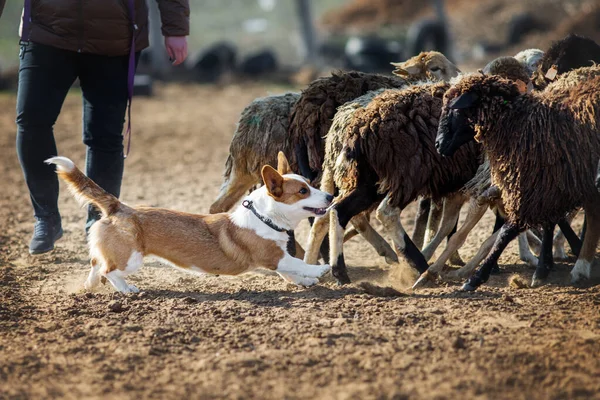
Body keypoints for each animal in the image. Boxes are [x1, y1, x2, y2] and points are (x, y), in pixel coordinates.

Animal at [46, 152, 332, 292]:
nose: (331, 196)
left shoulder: (276, 259)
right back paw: (128, 289)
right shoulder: (272, 256)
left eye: (309, 183)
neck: (265, 217)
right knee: (109, 271)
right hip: (131, 259)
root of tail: (119, 207)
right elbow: (297, 264)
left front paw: (306, 282)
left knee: (96, 265)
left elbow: (290, 271)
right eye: (303, 191)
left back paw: (89, 287)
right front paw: (319, 271)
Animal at [318, 83, 482, 282]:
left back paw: (340, 271)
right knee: (386, 212)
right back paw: (419, 265)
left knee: (339, 209)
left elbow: (450, 223)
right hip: (409, 174)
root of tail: (360, 128)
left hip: (370, 179)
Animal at [436, 65, 600, 290]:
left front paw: (476, 278)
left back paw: (581, 266)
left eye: (456, 110)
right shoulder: (547, 183)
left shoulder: (536, 185)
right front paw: (544, 267)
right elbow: (548, 221)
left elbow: (507, 231)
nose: (437, 145)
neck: (520, 125)